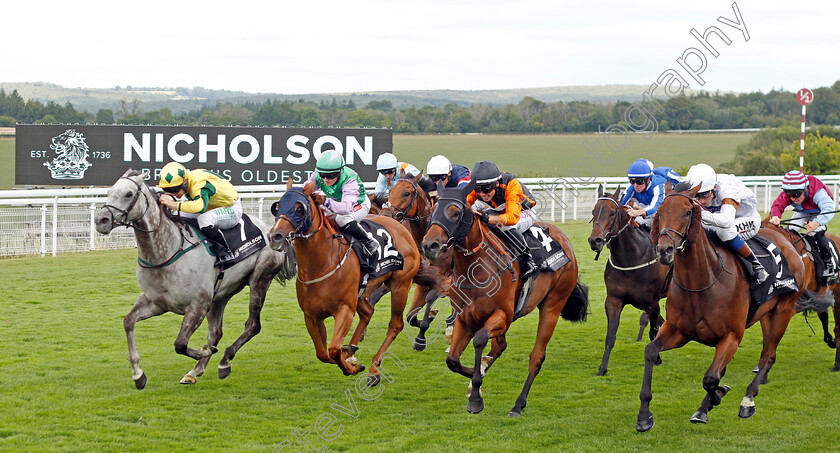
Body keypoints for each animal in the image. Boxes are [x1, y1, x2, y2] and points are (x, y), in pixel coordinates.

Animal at [94, 170, 296, 388]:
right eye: (109, 192)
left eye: (129, 194)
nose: (101, 220)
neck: (166, 252)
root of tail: (272, 230)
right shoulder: (155, 303)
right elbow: (128, 322)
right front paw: (138, 375)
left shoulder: (198, 304)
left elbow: (180, 344)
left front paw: (205, 351)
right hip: (220, 294)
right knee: (216, 331)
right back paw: (195, 371)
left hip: (259, 279)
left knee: (252, 325)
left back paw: (224, 360)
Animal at [268, 178, 420, 384]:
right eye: (277, 207)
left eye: (299, 209)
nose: (275, 236)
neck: (322, 264)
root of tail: (400, 226)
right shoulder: (312, 316)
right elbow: (323, 353)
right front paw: (350, 356)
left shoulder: (345, 310)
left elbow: (333, 349)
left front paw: (353, 366)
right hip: (362, 292)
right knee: (368, 312)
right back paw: (352, 350)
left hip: (400, 286)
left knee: (395, 325)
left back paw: (373, 369)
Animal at [420, 178, 592, 414]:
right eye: (435, 209)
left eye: (455, 212)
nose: (429, 245)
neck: (479, 269)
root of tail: (565, 241)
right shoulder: (465, 317)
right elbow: (452, 360)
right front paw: (477, 377)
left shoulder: (502, 316)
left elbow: (479, 340)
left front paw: (476, 394)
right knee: (499, 347)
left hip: (553, 305)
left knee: (536, 356)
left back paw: (518, 404)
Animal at [588, 184, 668, 374]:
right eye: (594, 211)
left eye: (612, 213)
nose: (595, 240)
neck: (633, 258)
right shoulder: (613, 301)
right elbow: (610, 336)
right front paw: (602, 368)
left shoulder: (652, 303)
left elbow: (653, 331)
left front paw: (656, 359)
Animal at [636, 182, 808, 430]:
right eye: (660, 212)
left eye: (687, 212)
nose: (664, 250)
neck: (702, 283)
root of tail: (786, 240)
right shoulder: (678, 331)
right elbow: (650, 351)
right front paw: (644, 416)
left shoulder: (731, 336)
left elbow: (710, 378)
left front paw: (718, 394)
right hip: (767, 312)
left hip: (784, 310)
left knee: (769, 355)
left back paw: (747, 399)